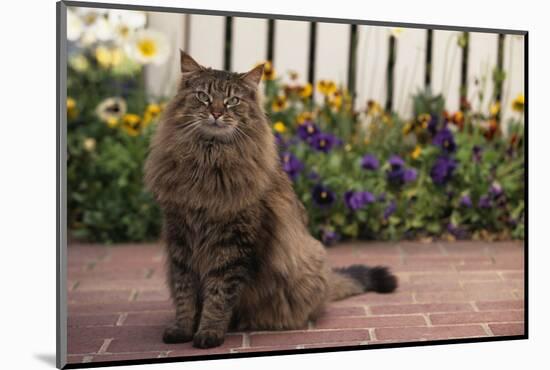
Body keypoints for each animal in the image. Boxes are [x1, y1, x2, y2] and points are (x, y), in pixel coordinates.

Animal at [144, 52, 398, 350]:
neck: (208, 161)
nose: (216, 112)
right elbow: (185, 296)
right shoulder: (180, 238)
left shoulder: (233, 245)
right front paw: (183, 329)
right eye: (203, 97)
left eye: (233, 100)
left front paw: (208, 333)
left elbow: (218, 296)